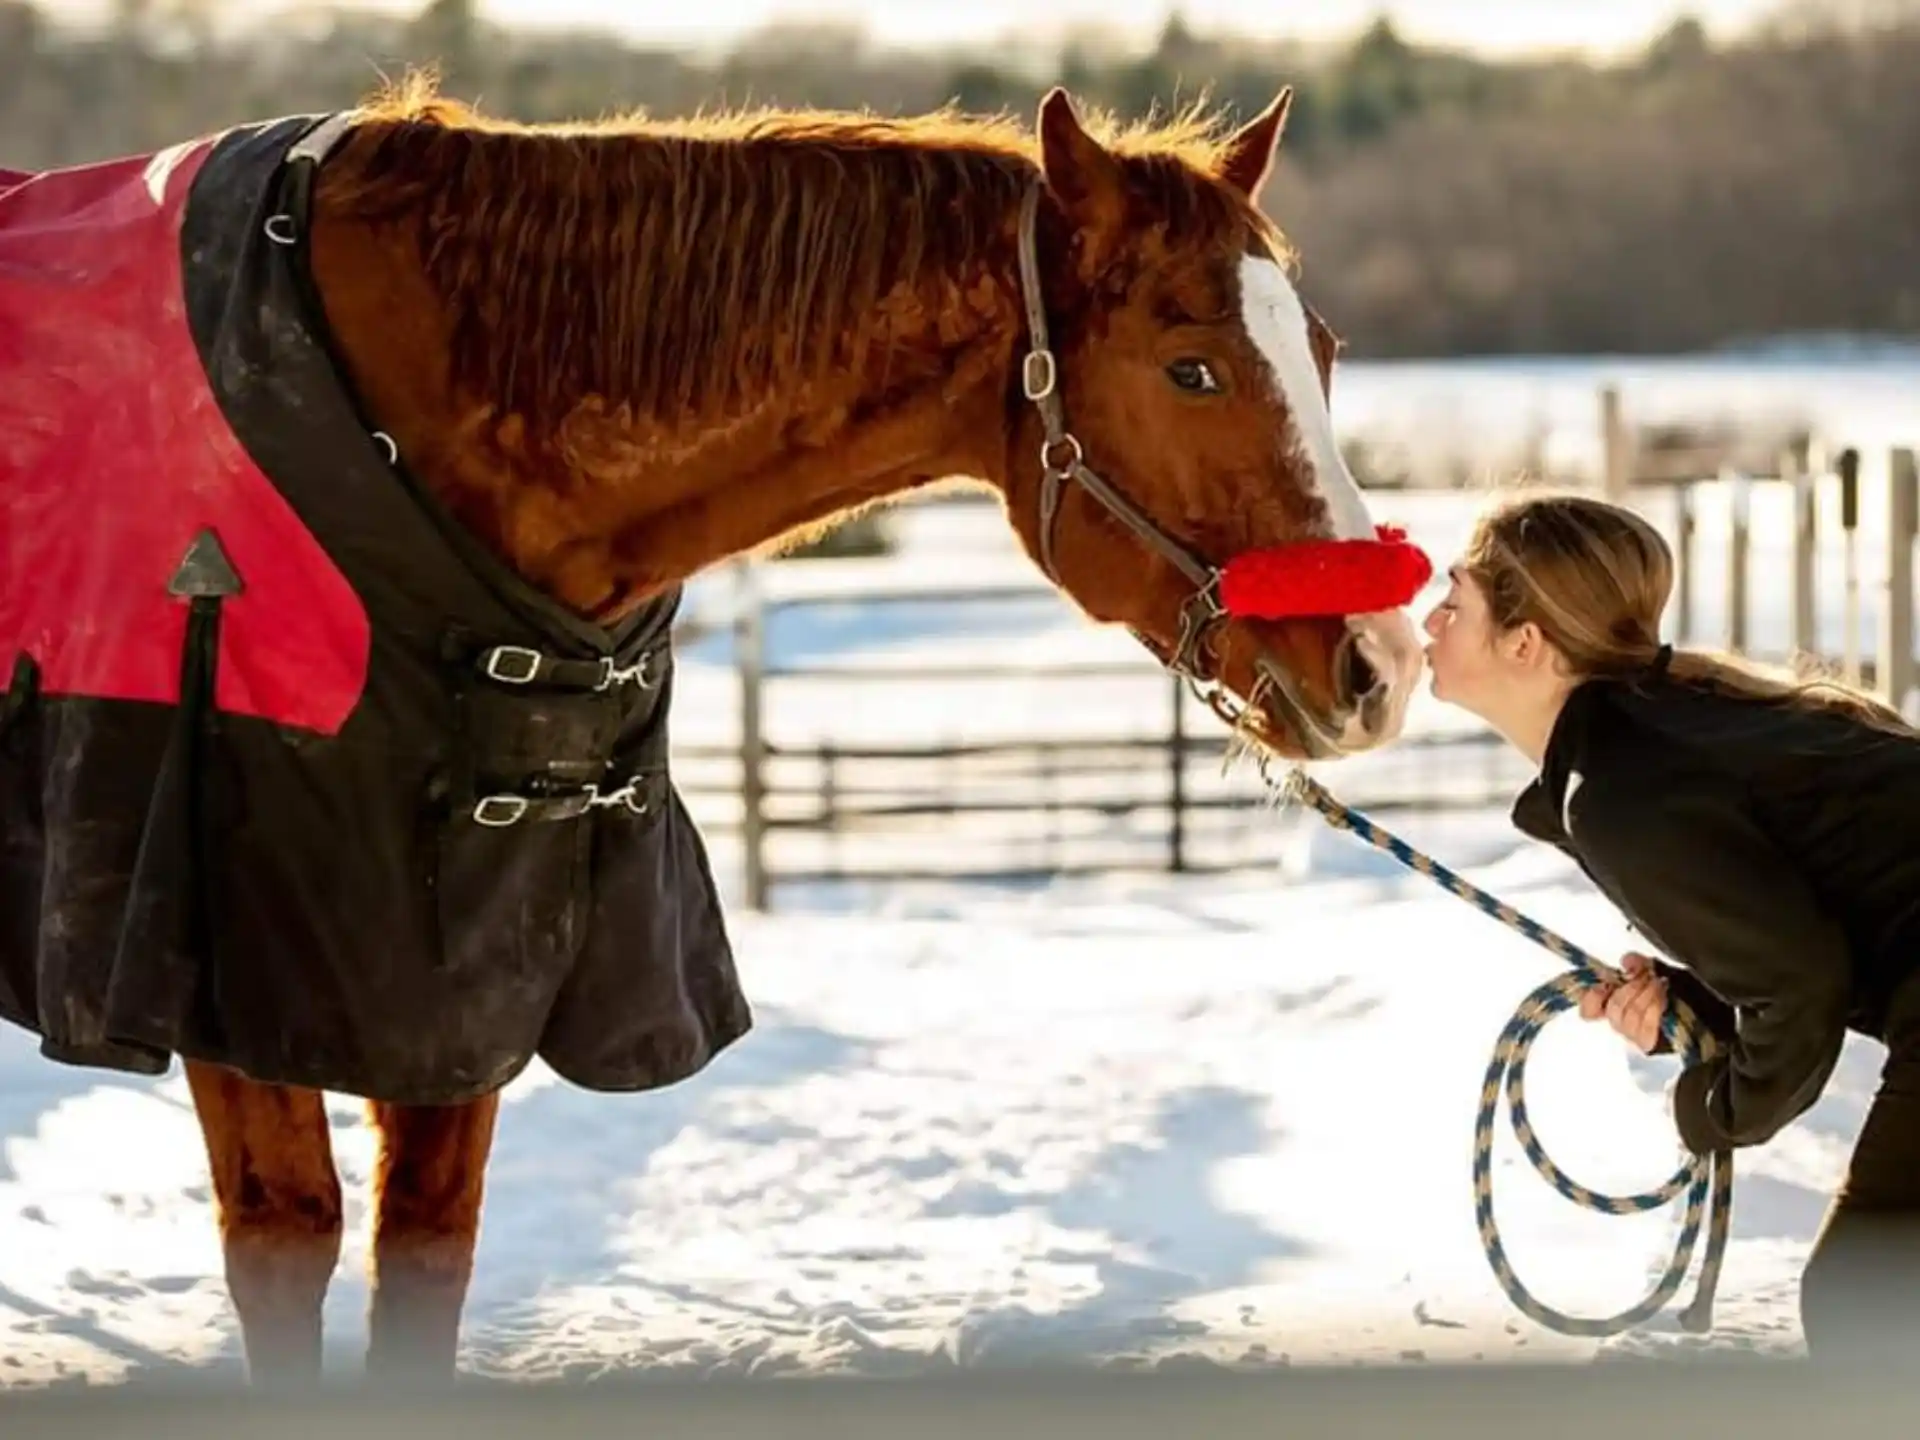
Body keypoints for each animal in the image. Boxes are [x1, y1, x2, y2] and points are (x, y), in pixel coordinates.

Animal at [0, 76, 1423, 1384]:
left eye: (1326, 350)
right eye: (1192, 367)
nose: (1381, 665)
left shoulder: (460, 989)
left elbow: (424, 1256)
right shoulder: (232, 988)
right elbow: (288, 1244)